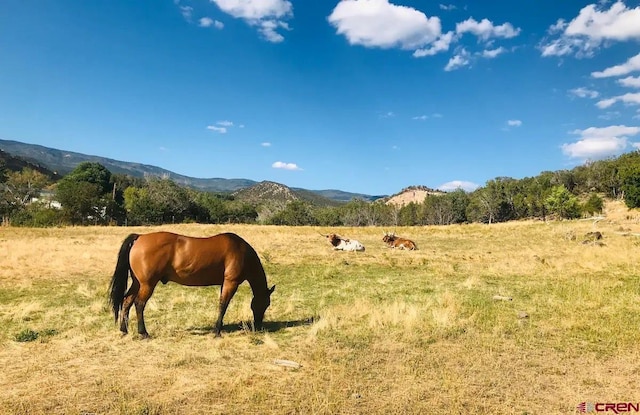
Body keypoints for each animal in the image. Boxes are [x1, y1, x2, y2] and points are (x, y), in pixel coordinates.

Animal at [109, 232, 274, 340]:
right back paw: (143, 333)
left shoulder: (224, 283)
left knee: (127, 301)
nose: (258, 325)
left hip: (137, 283)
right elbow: (223, 305)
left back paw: (124, 330)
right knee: (139, 304)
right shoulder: (230, 282)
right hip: (147, 284)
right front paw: (217, 331)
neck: (240, 251)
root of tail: (140, 237)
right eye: (266, 304)